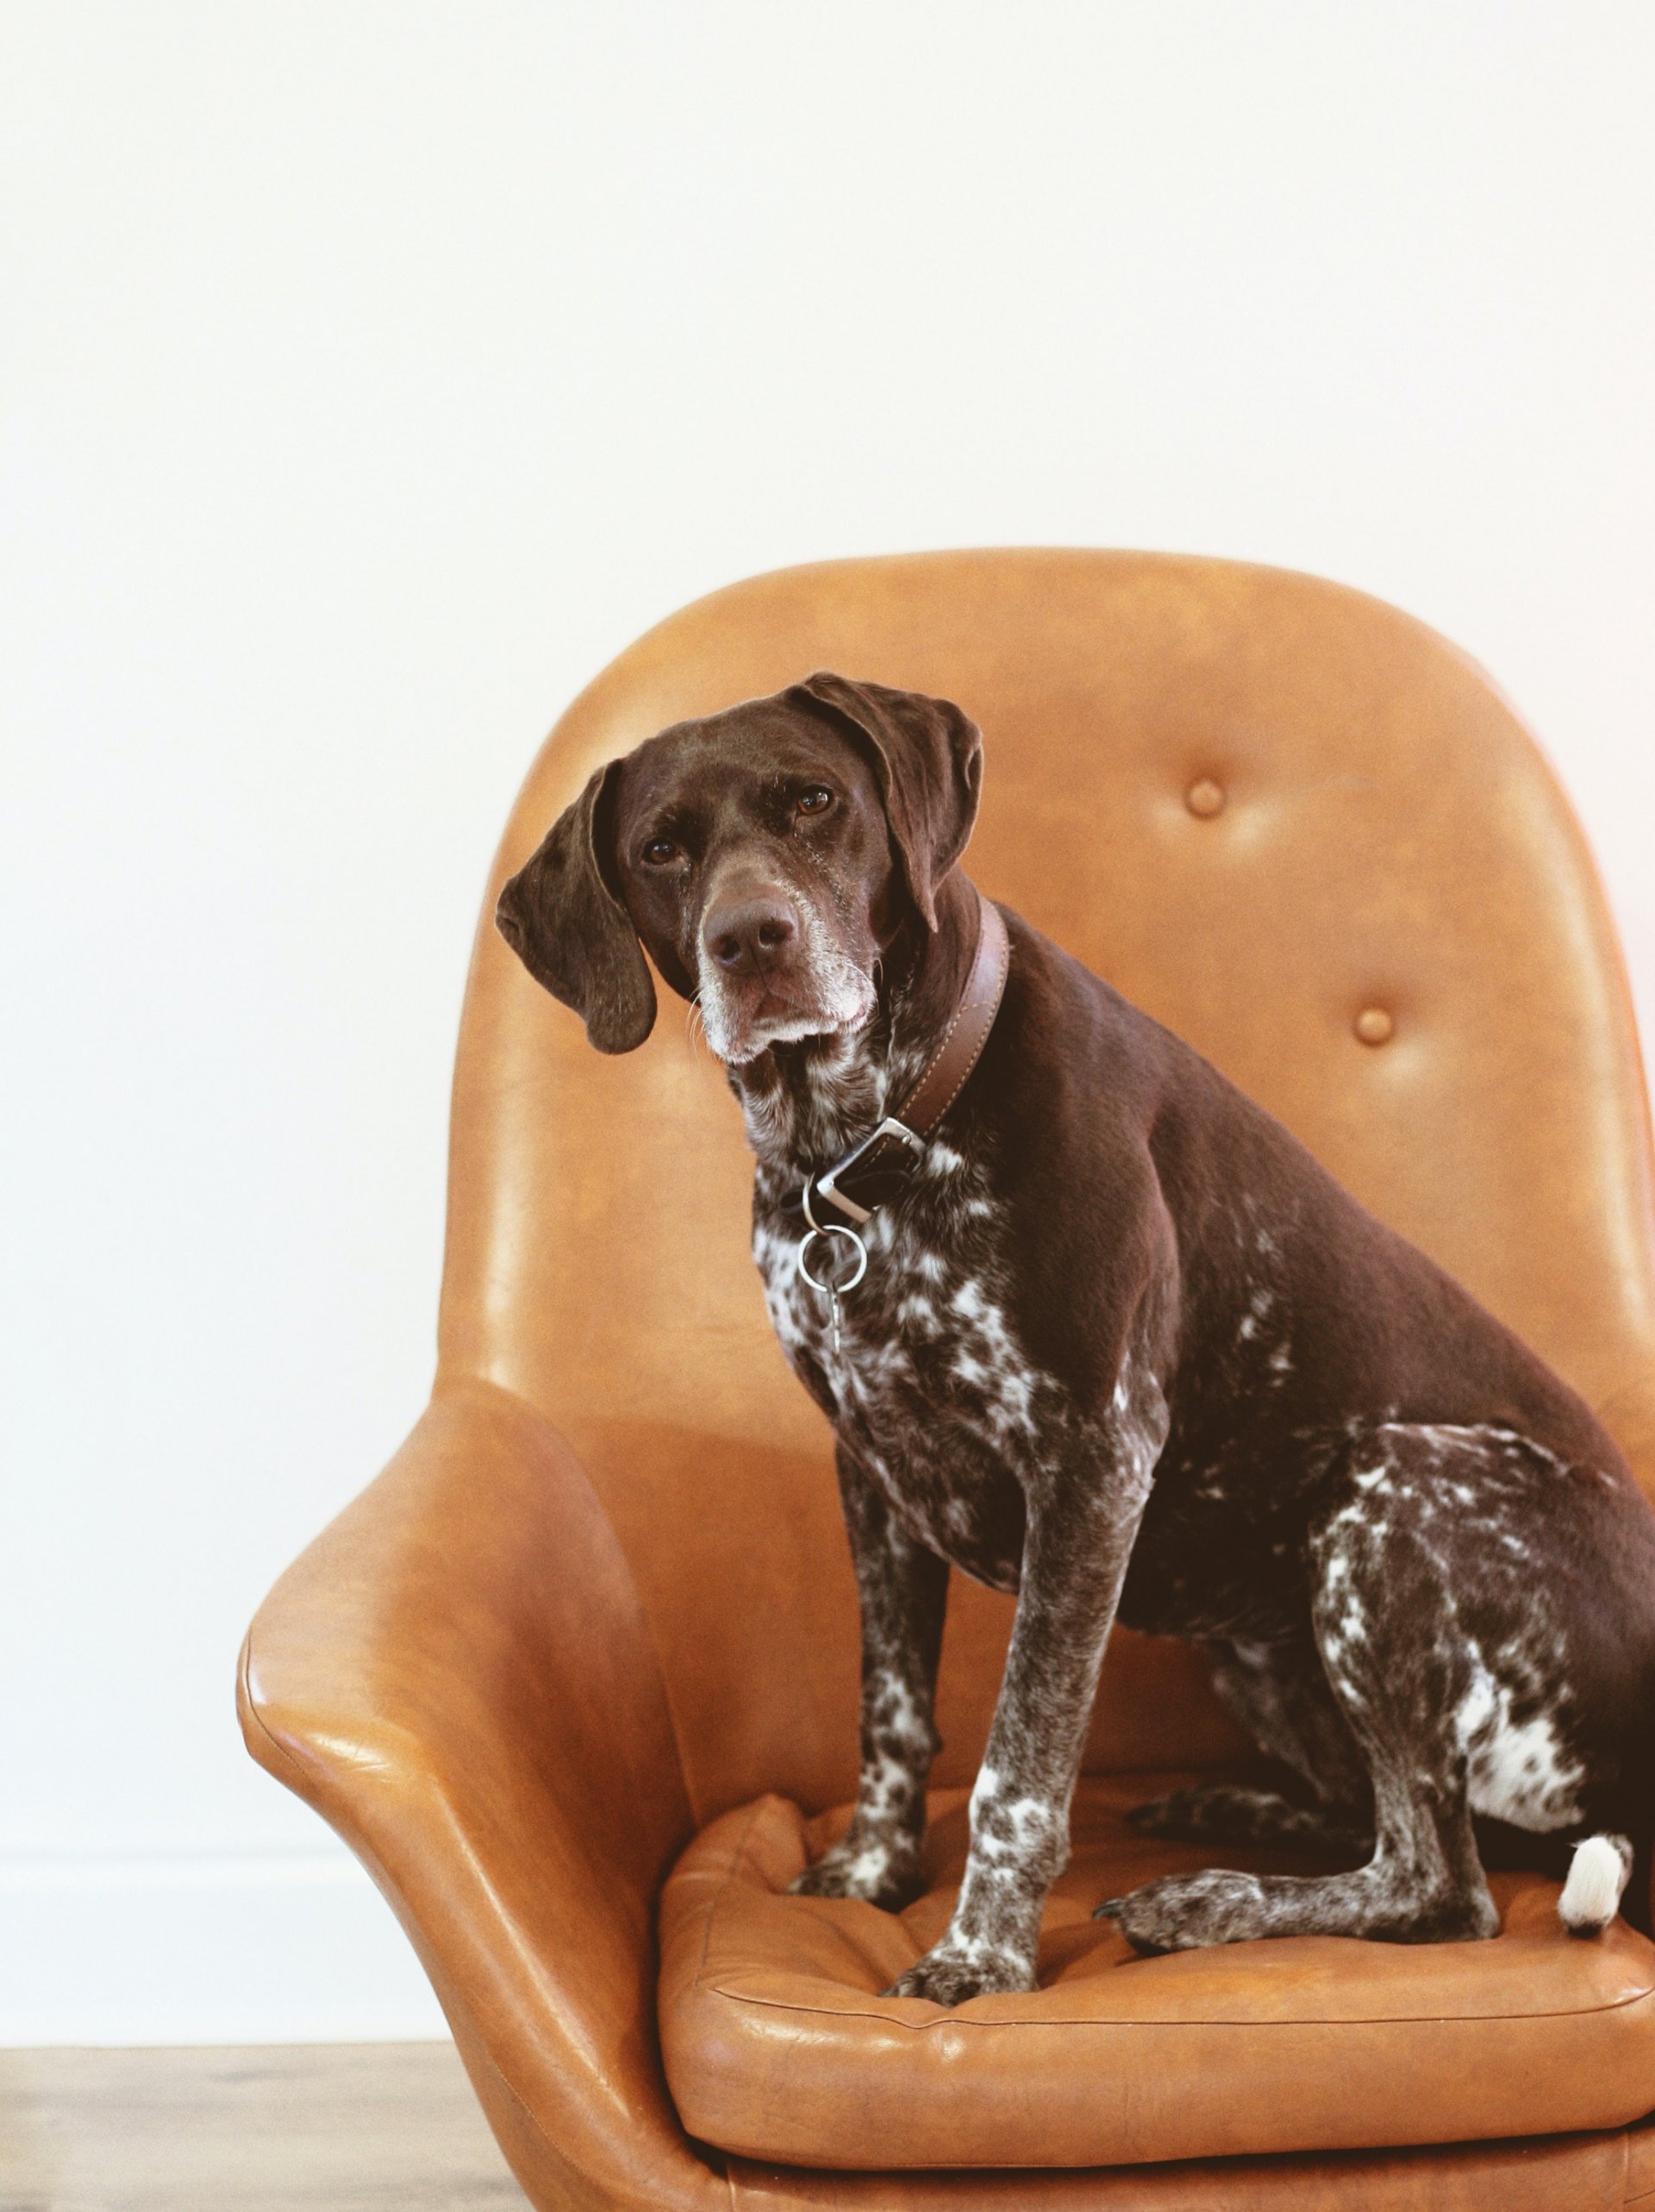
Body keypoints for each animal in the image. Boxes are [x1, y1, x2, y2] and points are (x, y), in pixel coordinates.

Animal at [497, 672, 1655, 2008]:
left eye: (816, 801)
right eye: (663, 849)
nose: (751, 939)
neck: (871, 1142)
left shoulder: (1091, 1463)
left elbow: (1022, 1761)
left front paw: (978, 1956)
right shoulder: (873, 1469)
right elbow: (891, 1710)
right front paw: (873, 1872)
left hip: (1390, 1488)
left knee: (1442, 1878)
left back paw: (1206, 1901)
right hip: (1260, 1631)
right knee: (1387, 1821)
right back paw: (1231, 1814)